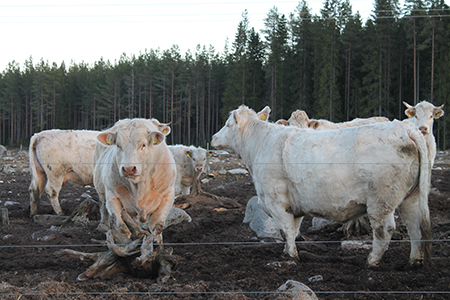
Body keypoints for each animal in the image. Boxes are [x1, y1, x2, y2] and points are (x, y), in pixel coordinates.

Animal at [213, 105, 430, 268]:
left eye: (227, 124)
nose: (213, 137)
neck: (259, 145)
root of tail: (406, 129)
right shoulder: (295, 205)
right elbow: (293, 229)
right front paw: (287, 252)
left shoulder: (276, 200)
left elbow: (285, 229)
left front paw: (290, 256)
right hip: (412, 196)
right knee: (414, 226)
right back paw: (414, 260)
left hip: (381, 199)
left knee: (384, 230)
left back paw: (371, 261)